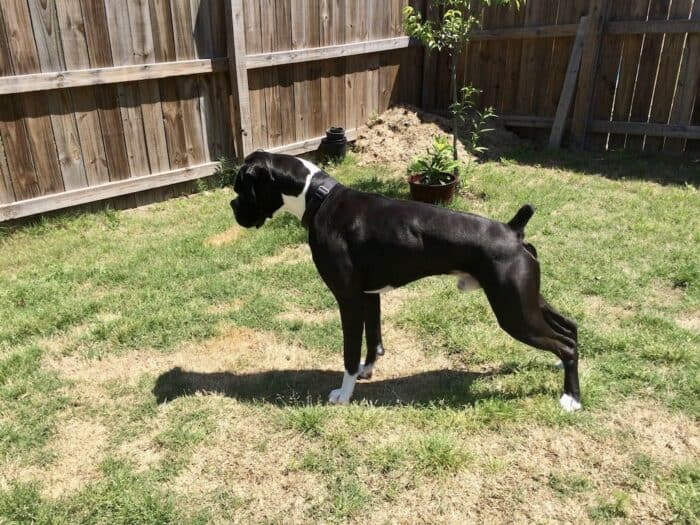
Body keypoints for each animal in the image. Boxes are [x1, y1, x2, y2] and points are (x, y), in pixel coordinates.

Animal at [230, 149, 580, 412]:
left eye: (241, 189)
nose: (232, 206)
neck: (318, 197)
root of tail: (513, 230)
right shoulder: (369, 295)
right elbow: (373, 338)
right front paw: (368, 370)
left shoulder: (348, 299)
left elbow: (349, 352)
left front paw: (344, 394)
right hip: (528, 302)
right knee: (570, 329)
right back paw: (561, 369)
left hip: (515, 314)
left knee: (564, 343)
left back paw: (571, 398)